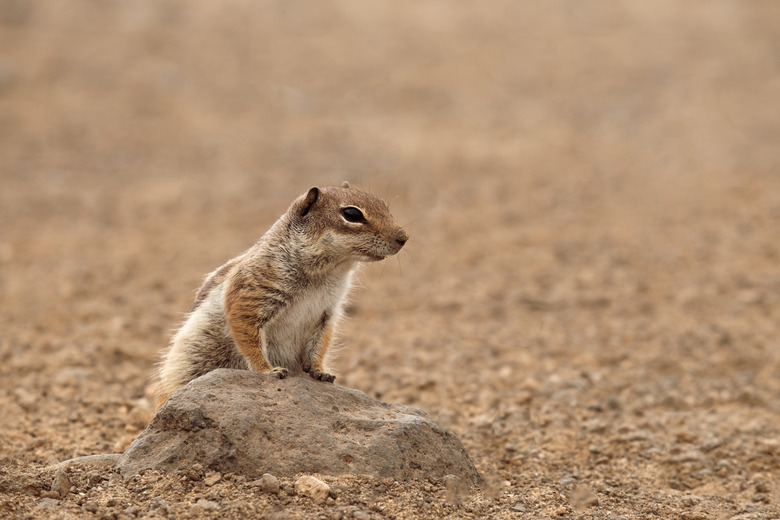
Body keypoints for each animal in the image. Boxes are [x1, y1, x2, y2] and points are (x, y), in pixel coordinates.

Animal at [152, 182, 408, 410]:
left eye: (384, 205)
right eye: (352, 214)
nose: (403, 238)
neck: (326, 272)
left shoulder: (327, 313)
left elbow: (321, 343)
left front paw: (321, 371)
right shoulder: (249, 298)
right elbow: (249, 339)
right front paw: (268, 370)